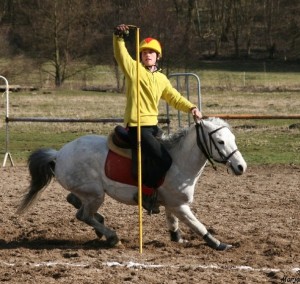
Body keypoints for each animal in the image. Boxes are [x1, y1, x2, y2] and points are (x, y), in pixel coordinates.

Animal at [17, 117, 246, 251]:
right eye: (220, 141)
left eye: (233, 138)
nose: (241, 166)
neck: (179, 160)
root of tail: (58, 154)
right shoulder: (179, 205)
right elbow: (197, 225)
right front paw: (218, 244)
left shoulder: (172, 205)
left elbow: (173, 223)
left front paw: (178, 239)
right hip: (95, 194)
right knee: (83, 215)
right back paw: (111, 236)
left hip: (89, 192)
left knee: (74, 201)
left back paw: (101, 226)